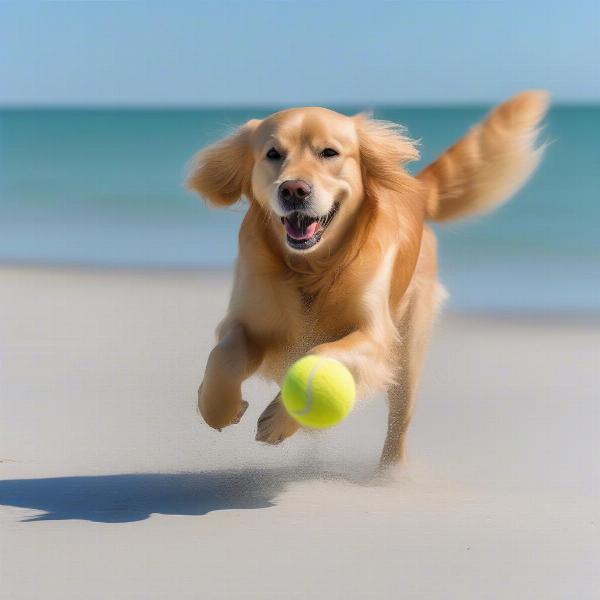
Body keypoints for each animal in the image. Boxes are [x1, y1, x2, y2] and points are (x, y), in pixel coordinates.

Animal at [188, 90, 548, 464]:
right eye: (273, 154)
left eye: (329, 152)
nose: (294, 190)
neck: (311, 270)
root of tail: (419, 190)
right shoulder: (245, 320)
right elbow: (222, 356)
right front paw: (219, 407)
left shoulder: (374, 335)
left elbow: (322, 354)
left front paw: (280, 419)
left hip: (408, 352)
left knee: (399, 422)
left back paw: (386, 473)